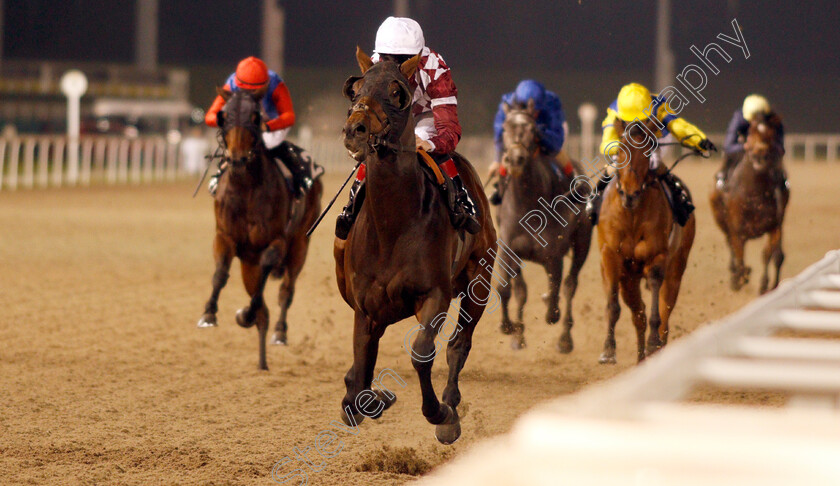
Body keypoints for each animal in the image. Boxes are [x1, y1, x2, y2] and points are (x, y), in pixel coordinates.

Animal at [197, 88, 324, 368]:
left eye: (255, 117)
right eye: (223, 116)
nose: (237, 159)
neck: (245, 188)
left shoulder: (276, 241)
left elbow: (264, 279)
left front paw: (246, 314)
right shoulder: (225, 236)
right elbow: (220, 273)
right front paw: (209, 314)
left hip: (300, 245)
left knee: (286, 291)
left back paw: (279, 332)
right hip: (248, 260)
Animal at [332, 48, 496, 444]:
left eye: (397, 93)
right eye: (356, 88)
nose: (355, 130)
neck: (392, 226)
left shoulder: (434, 294)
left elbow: (423, 353)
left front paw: (442, 414)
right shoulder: (366, 308)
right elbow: (357, 380)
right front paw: (374, 397)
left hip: (479, 281)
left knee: (459, 345)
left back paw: (451, 401)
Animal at [496, 103, 592, 354]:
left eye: (532, 128)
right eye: (505, 127)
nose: (515, 159)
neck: (527, 205)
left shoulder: (553, 255)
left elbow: (556, 289)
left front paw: (552, 313)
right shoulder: (508, 250)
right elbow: (510, 290)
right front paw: (512, 330)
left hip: (583, 243)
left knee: (570, 285)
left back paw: (565, 339)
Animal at [596, 118, 696, 364]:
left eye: (646, 152)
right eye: (620, 151)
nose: (629, 194)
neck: (632, 215)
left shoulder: (656, 256)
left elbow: (656, 312)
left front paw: (653, 343)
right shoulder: (611, 257)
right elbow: (614, 306)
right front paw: (608, 350)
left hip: (676, 268)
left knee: (664, 311)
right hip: (629, 279)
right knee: (638, 314)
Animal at [712, 110, 792, 294]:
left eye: (771, 134)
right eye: (751, 132)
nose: (760, 156)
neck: (754, 194)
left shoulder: (775, 226)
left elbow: (768, 254)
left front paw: (764, 284)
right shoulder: (737, 230)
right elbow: (739, 254)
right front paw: (739, 278)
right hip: (720, 218)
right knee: (730, 245)